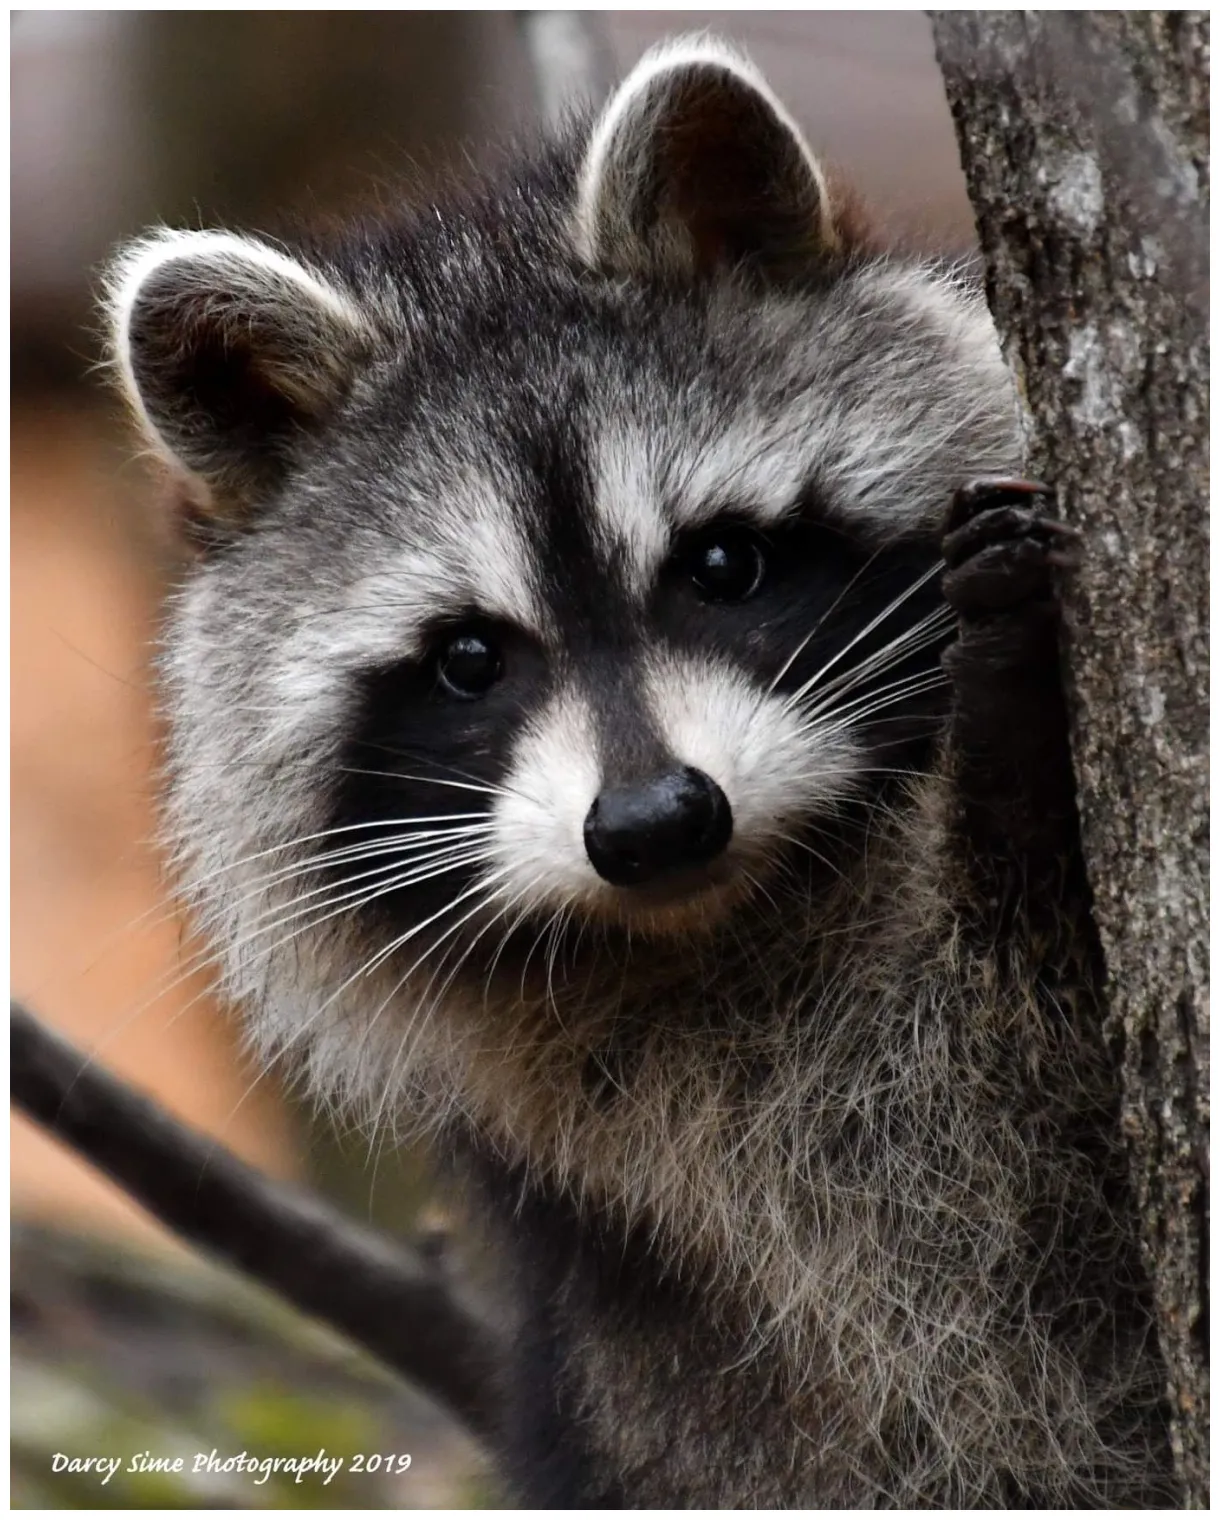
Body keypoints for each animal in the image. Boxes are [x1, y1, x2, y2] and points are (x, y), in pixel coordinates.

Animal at [106, 37, 1174, 1508]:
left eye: (721, 563)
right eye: (469, 659)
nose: (658, 820)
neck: (735, 914)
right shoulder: (718, 1153)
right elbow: (1015, 1133)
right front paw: (1007, 746)